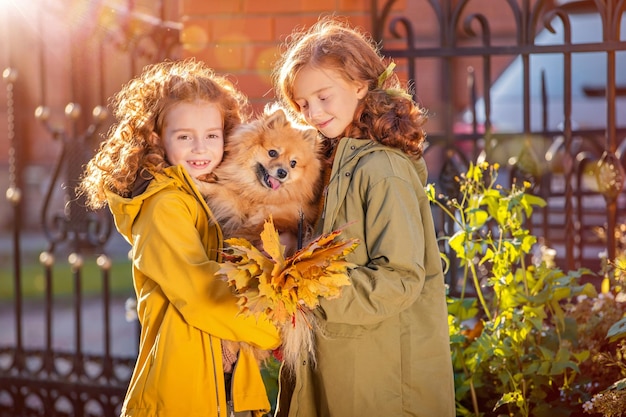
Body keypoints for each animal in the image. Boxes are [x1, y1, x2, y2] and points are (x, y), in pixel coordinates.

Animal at [195, 103, 322, 250]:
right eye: (272, 153)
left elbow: (222, 190)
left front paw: (199, 184)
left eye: (293, 163)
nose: (282, 172)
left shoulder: (242, 210)